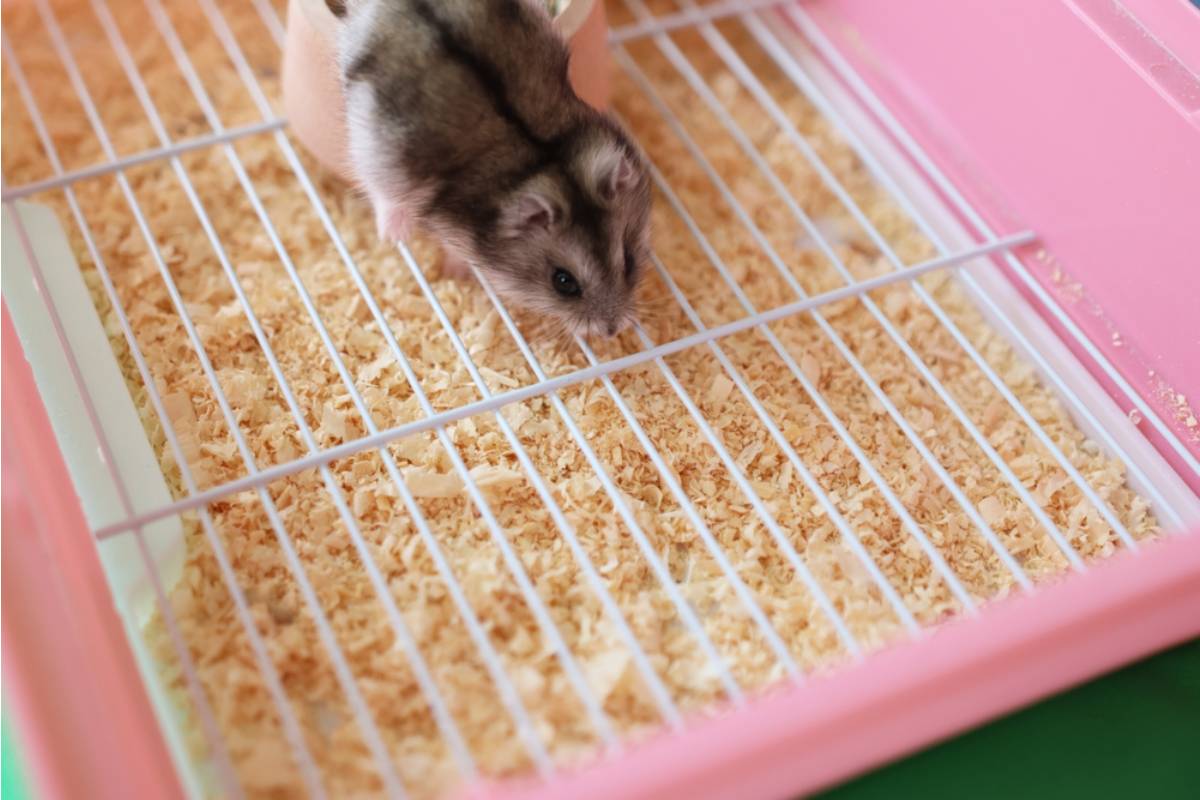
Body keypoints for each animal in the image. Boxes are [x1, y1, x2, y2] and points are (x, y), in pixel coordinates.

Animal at [324, 0, 652, 338]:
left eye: (629, 260)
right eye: (563, 283)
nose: (612, 331)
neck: (544, 162)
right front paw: (455, 272)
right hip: (374, 146)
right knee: (381, 192)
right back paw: (394, 234)